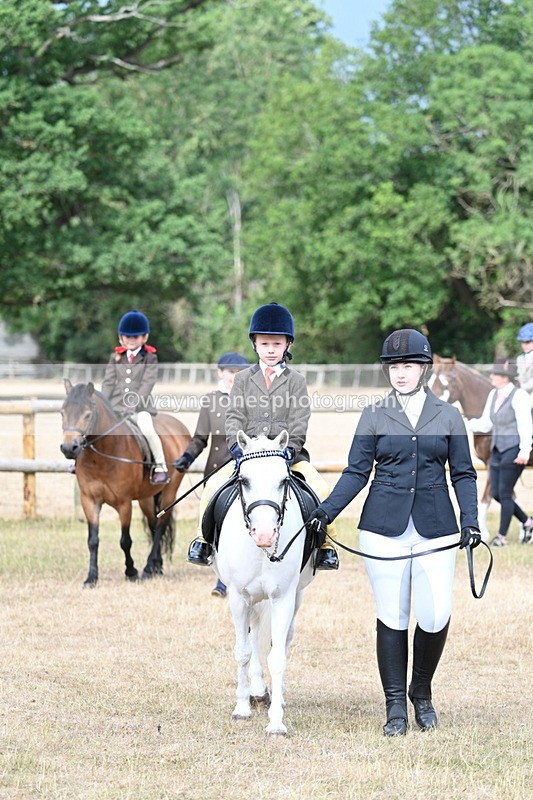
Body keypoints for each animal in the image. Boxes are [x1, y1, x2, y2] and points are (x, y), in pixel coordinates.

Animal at [60, 380, 191, 587]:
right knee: (154, 525)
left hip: (170, 491)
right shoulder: (89, 501)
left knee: (161, 526)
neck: (101, 457)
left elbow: (125, 540)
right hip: (147, 498)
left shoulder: (124, 503)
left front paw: (131, 572)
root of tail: (177, 425)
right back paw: (157, 567)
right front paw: (91, 578)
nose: (68, 448)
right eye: (62, 413)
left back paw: (148, 568)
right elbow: (92, 540)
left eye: (87, 414)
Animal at [214, 430, 318, 735]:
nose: (264, 534)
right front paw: (241, 708)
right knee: (254, 635)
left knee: (281, 639)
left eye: (283, 480)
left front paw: (276, 722)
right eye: (244, 481)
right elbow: (243, 652)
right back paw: (257, 691)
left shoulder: (282, 597)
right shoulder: (238, 597)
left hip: (295, 596)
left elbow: (278, 656)